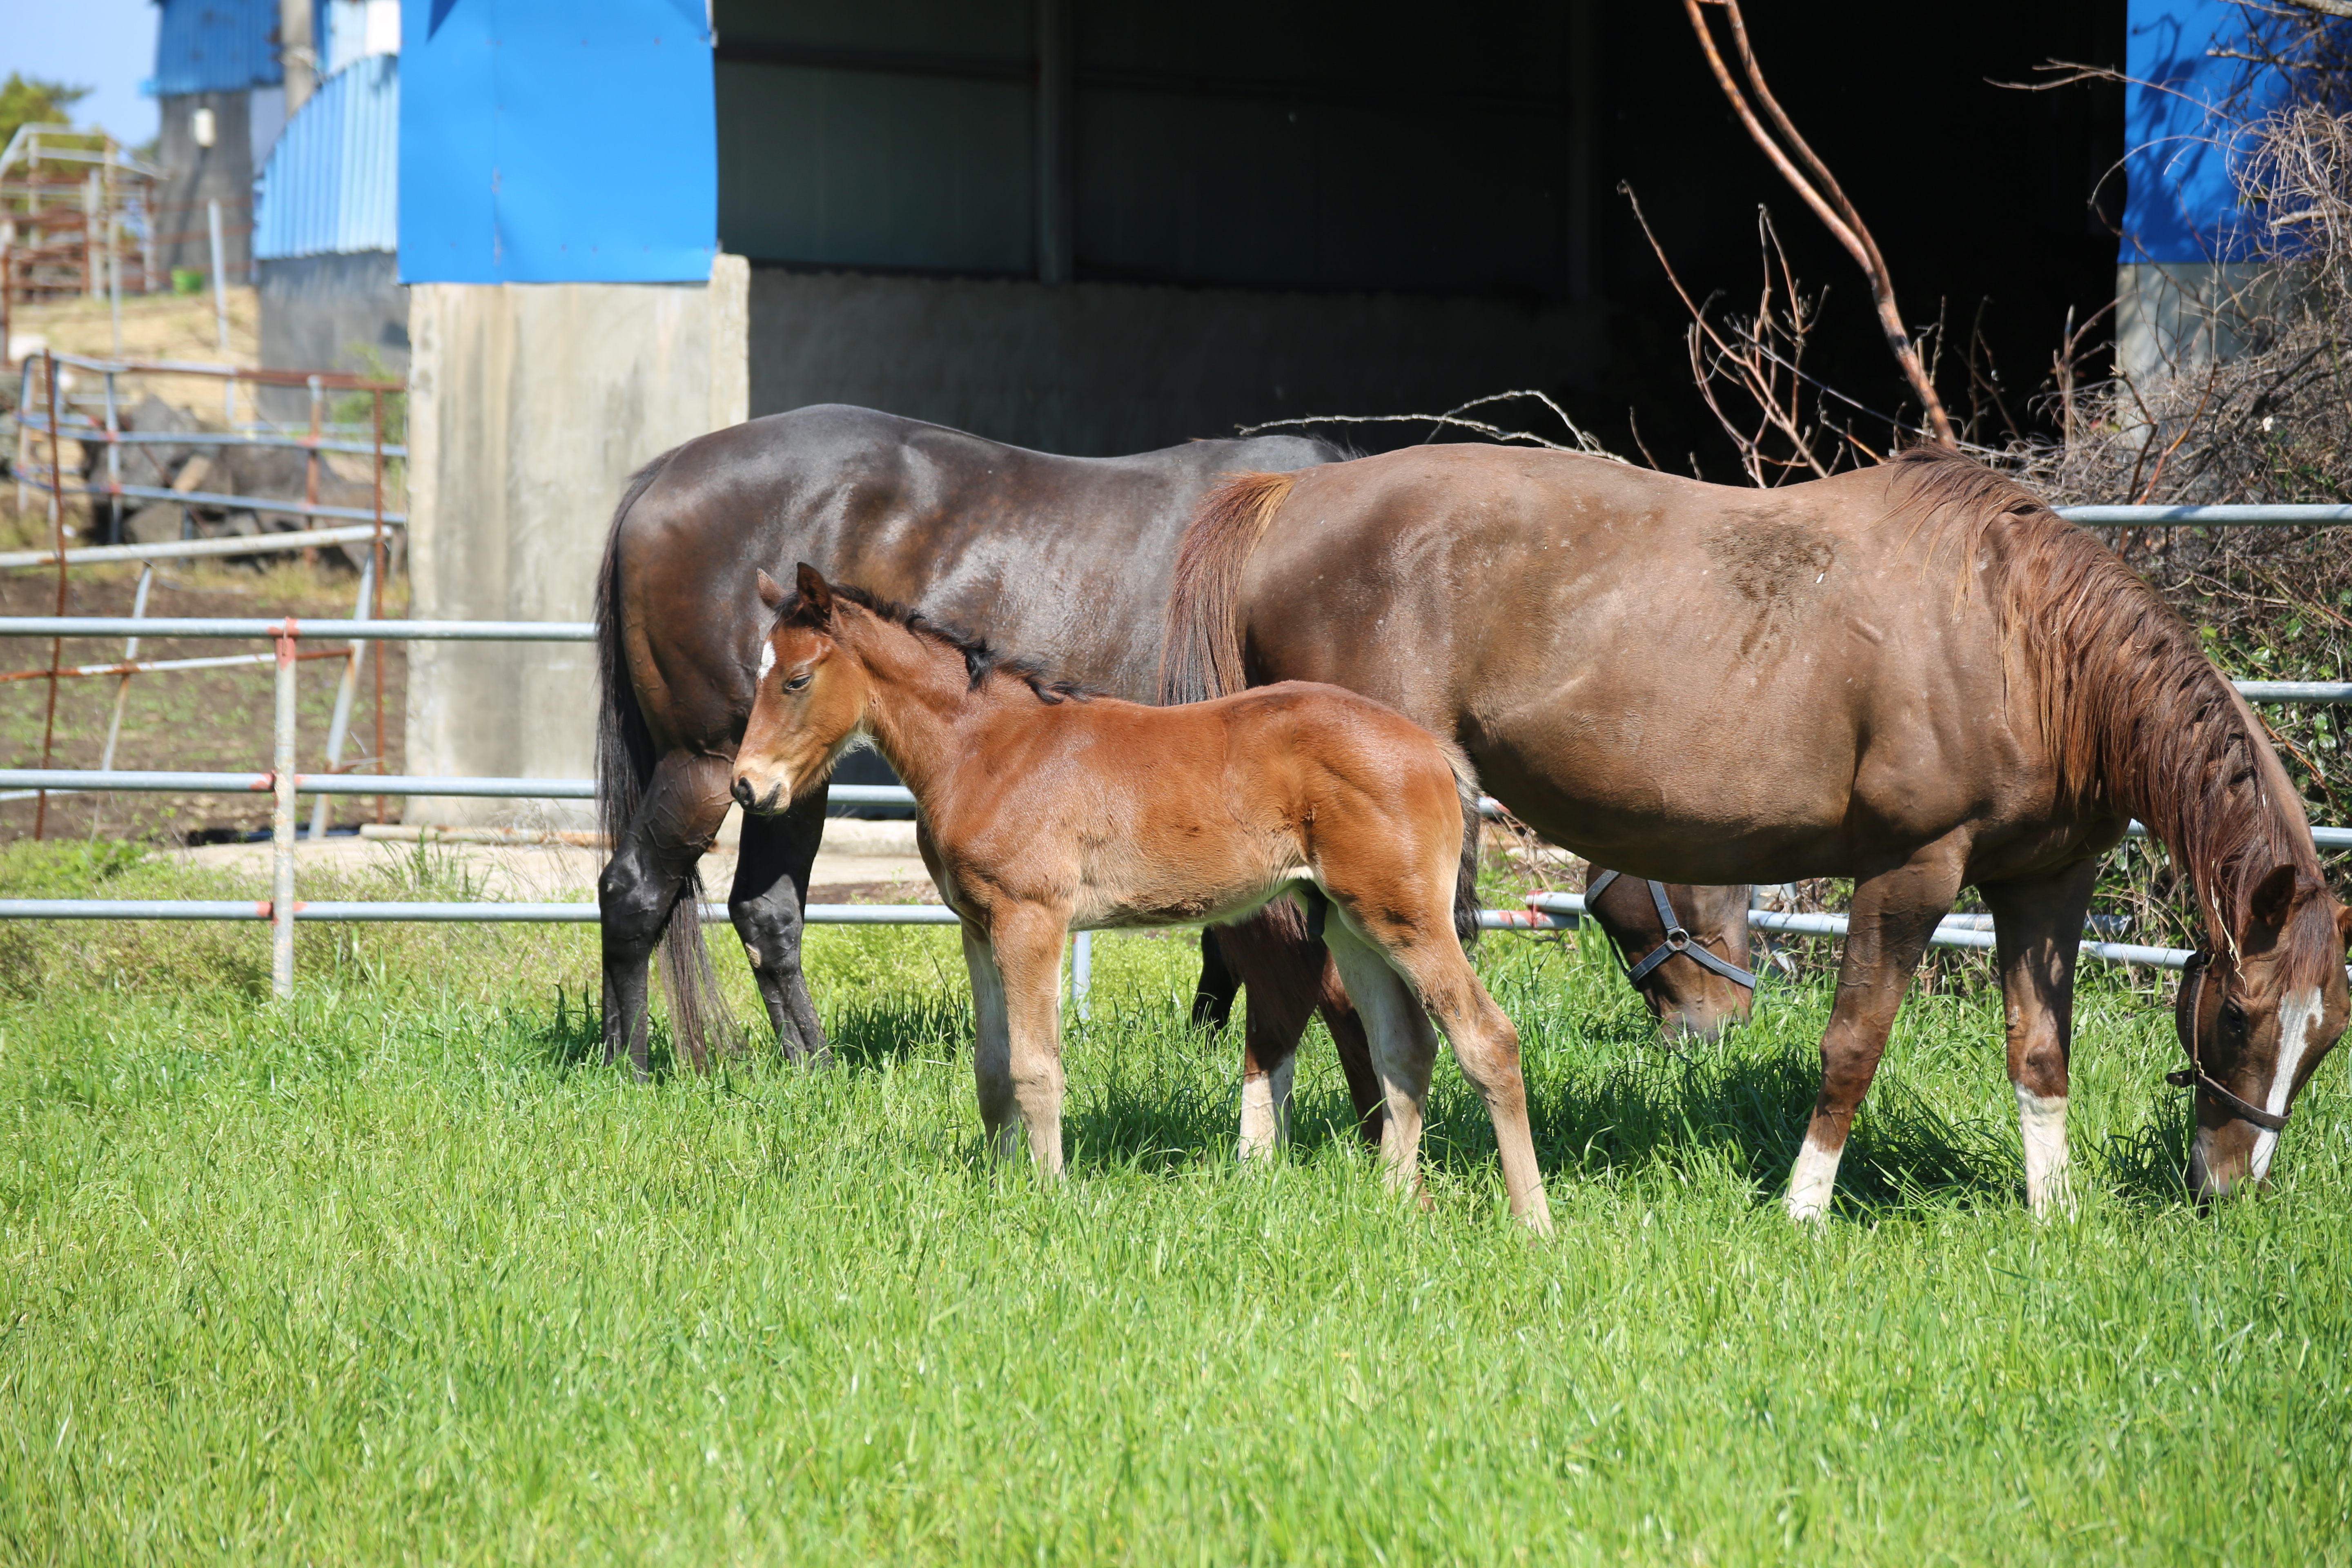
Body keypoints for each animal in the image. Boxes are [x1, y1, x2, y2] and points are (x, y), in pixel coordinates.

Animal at [724, 566, 1552, 1241]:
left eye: (796, 679)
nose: (746, 787)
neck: (986, 749)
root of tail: (1431, 749)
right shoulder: (977, 927)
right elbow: (991, 1068)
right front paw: (997, 1187)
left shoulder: (1033, 919)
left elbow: (1036, 1065)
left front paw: (1047, 1195)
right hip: (1350, 920)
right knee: (1405, 1048)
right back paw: (1396, 1203)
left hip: (1405, 917)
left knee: (1487, 1038)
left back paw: (1532, 1221)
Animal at [1162, 442, 2352, 1213]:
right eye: (2236, 1020)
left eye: (2327, 1038)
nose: (2231, 1190)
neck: (2022, 642)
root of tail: (1285, 497)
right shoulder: (1913, 870)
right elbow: (1854, 1042)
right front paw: (1802, 1209)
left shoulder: (2045, 883)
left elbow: (2039, 1052)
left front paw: (2052, 1217)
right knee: (1306, 978)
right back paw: (1280, 1156)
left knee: (1341, 989)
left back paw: (1372, 1152)